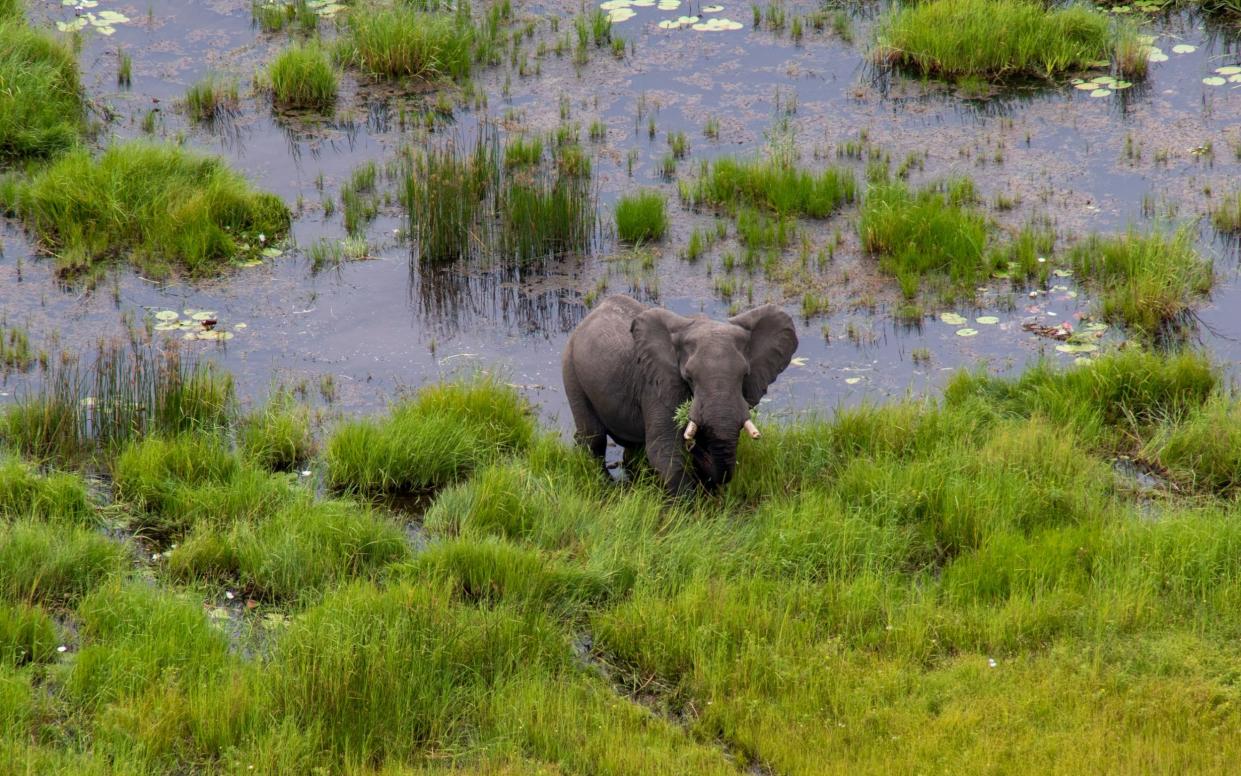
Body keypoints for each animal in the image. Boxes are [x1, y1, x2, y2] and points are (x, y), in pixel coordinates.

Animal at [560, 293, 794, 494]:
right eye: (689, 376)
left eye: (745, 374)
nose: (692, 445)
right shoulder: (657, 386)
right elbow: (664, 451)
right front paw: (689, 509)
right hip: (571, 367)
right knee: (594, 437)